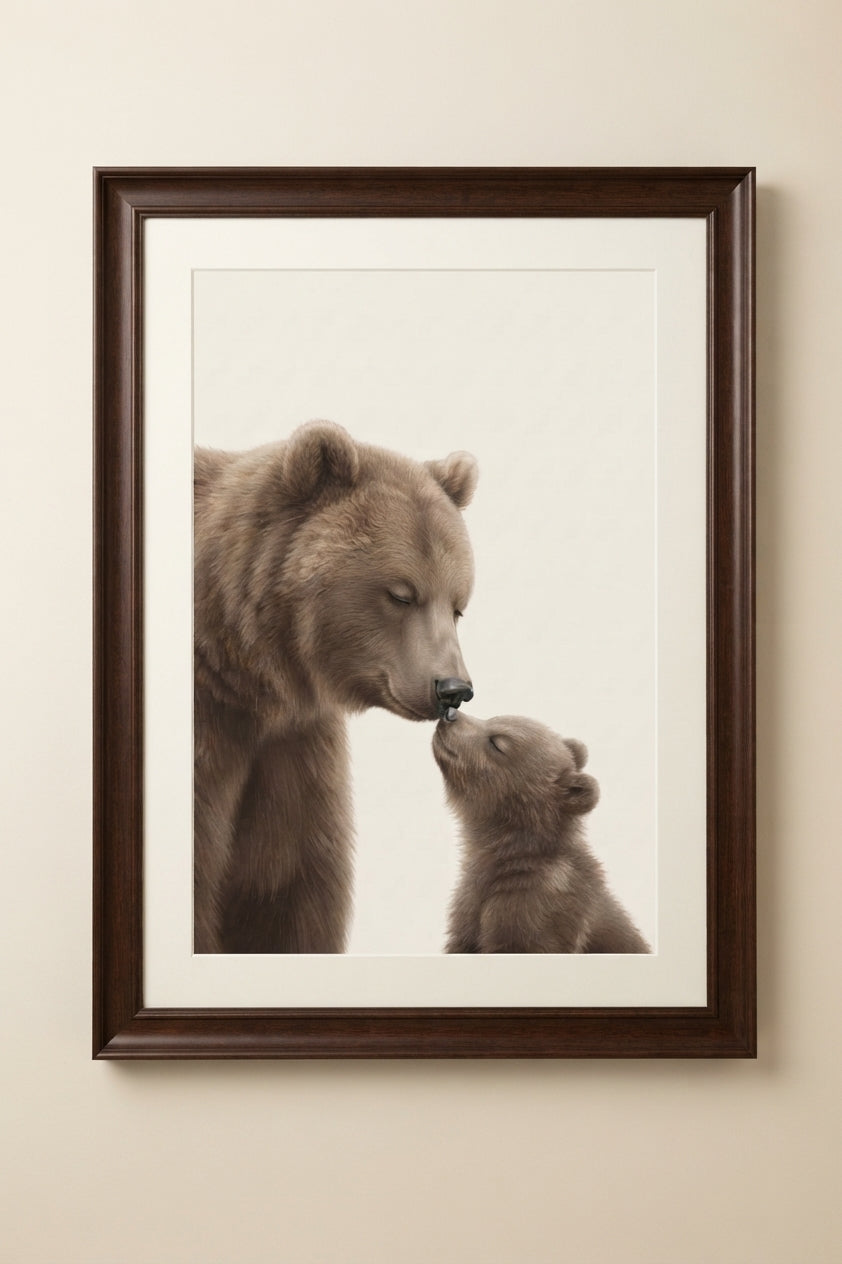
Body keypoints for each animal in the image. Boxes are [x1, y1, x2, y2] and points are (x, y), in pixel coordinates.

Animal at [193, 420, 478, 954]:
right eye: (401, 593)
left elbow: (289, 889)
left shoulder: (292, 748)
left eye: (458, 604)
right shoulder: (214, 728)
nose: (452, 689)